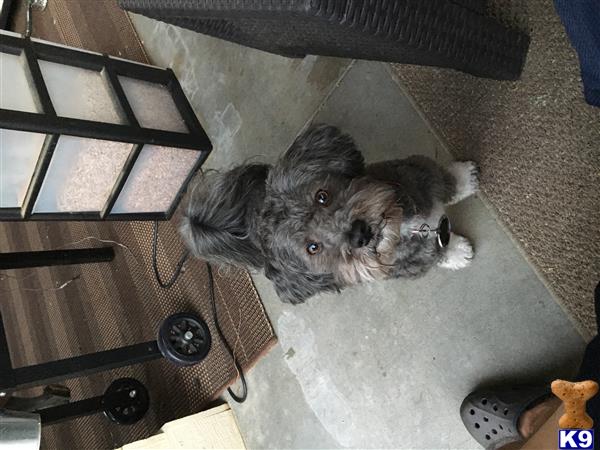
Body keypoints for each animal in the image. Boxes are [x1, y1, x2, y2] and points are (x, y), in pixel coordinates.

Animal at [179, 125, 478, 304]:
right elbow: (437, 253)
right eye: (313, 248)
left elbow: (447, 180)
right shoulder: (413, 263)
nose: (359, 234)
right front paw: (458, 252)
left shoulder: (419, 173)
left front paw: (466, 178)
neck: (407, 227)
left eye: (322, 196)